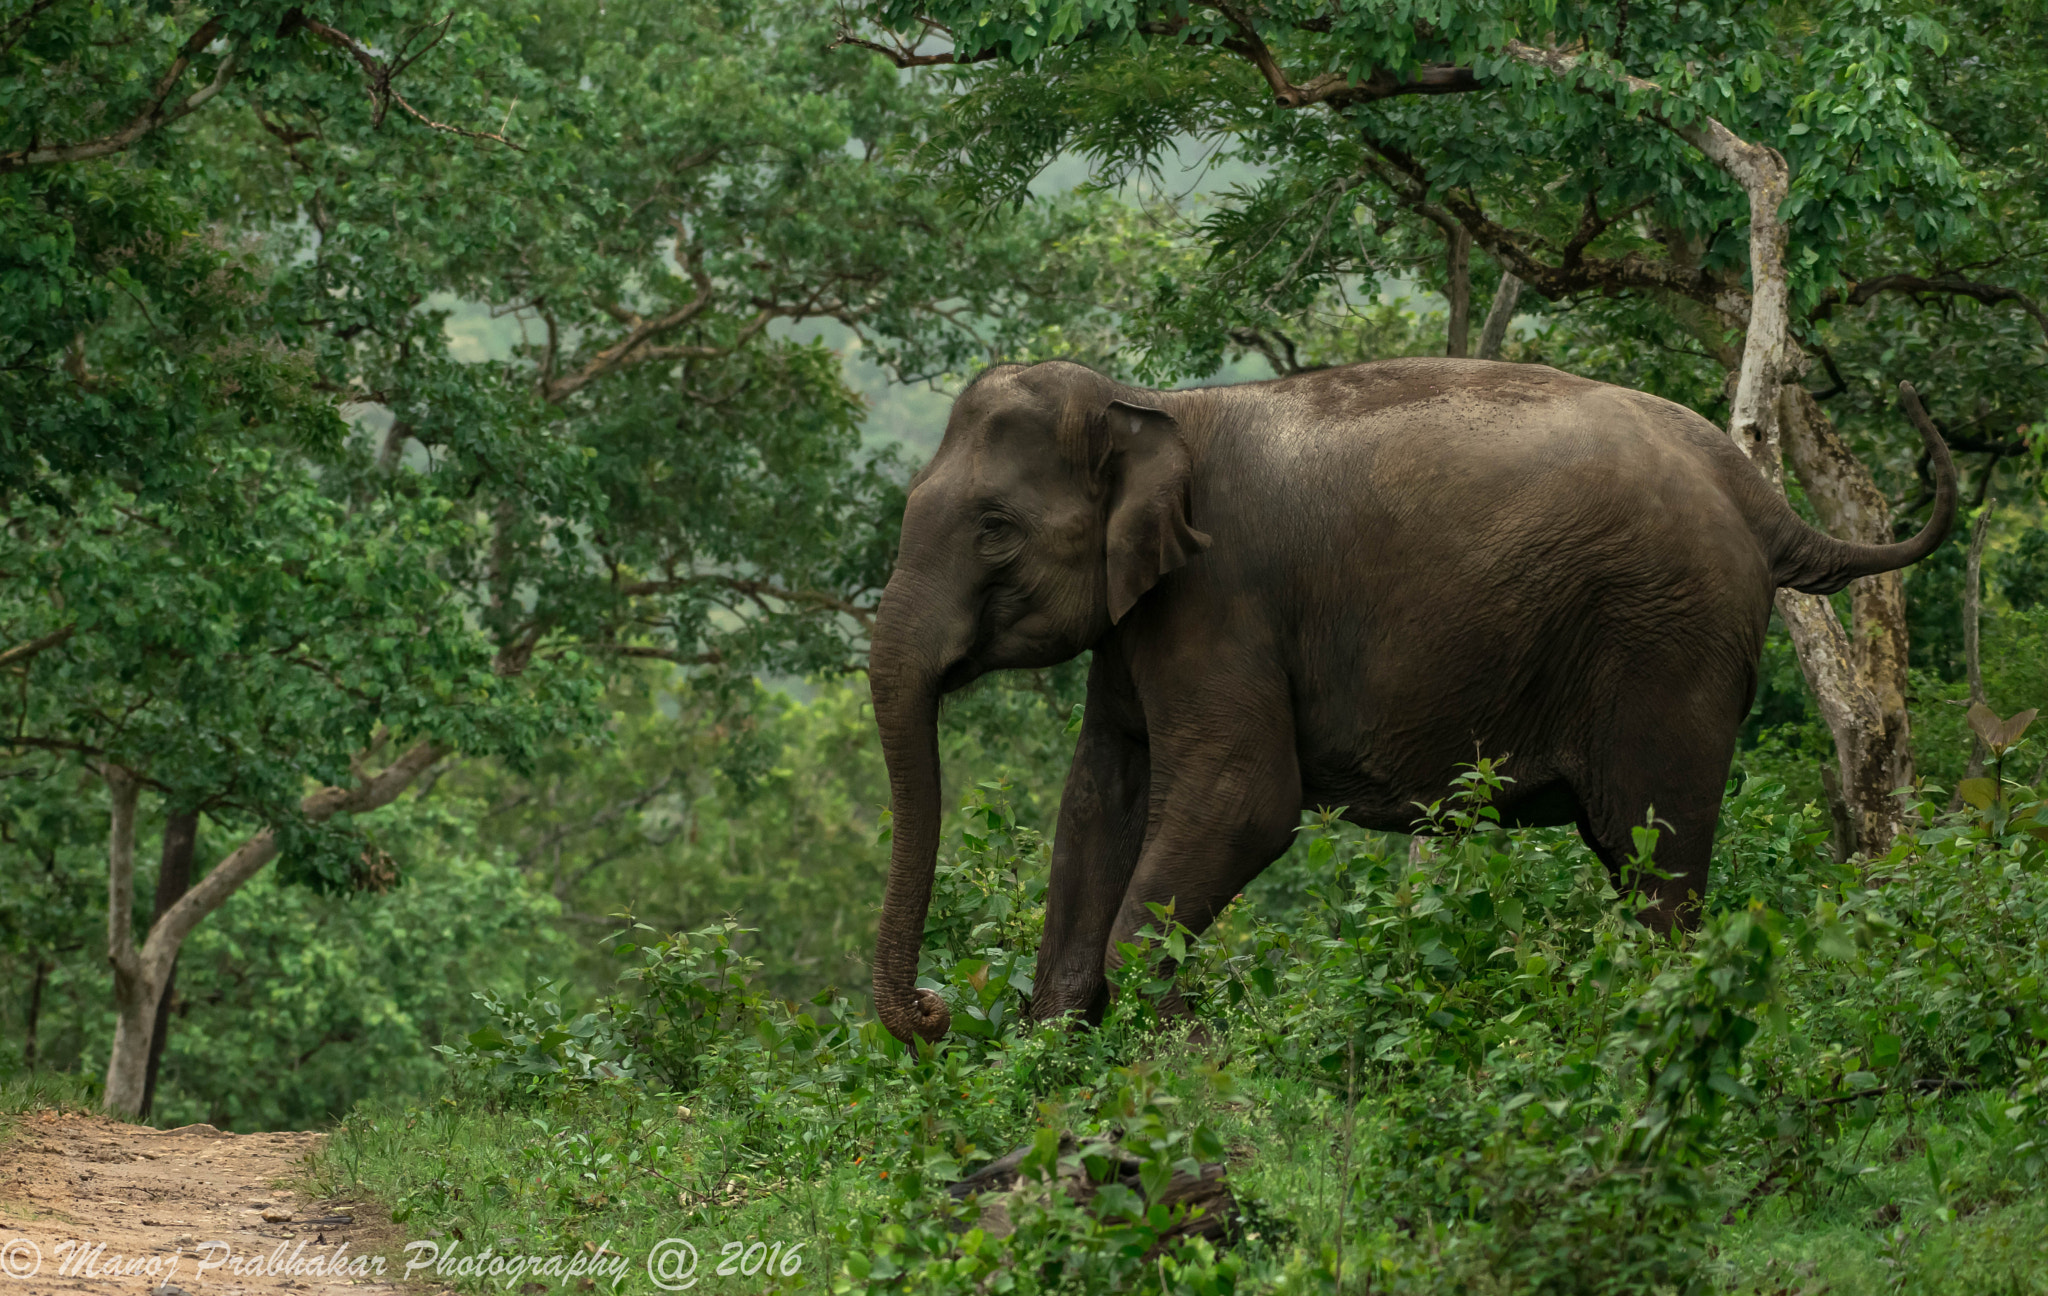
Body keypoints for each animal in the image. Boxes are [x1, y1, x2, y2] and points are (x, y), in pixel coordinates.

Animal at [866, 357, 1956, 1046]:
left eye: (994, 529)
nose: (933, 1010)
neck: (1151, 403)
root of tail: (1755, 494)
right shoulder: (1141, 625)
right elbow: (1100, 795)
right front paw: (1057, 1054)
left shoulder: (1221, 598)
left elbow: (1241, 798)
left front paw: (1179, 1059)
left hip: (1668, 637)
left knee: (1657, 858)